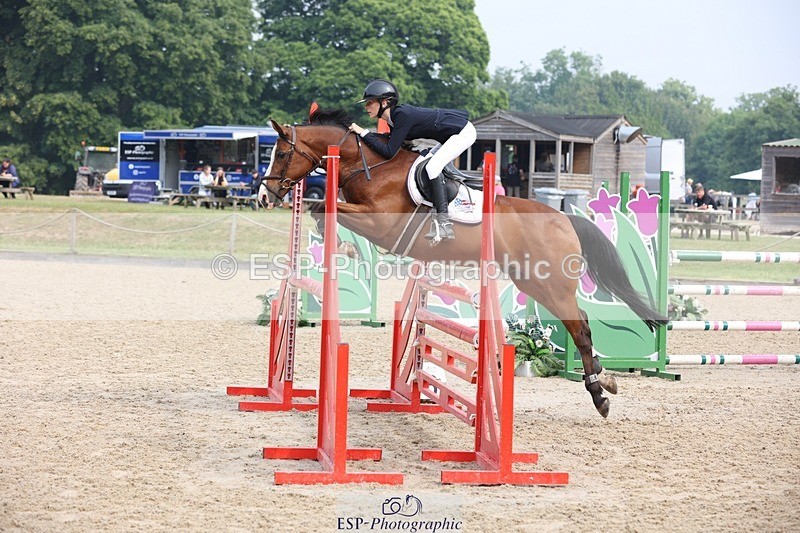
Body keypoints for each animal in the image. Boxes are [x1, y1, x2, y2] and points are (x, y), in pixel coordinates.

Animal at [263, 109, 667, 418]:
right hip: (532, 281)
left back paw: (599, 394)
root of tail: (564, 218)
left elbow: (324, 205)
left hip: (551, 283)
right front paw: (339, 244)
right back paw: (604, 378)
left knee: (580, 327)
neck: (369, 166)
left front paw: (344, 248)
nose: (266, 194)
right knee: (579, 322)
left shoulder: (381, 224)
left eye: (280, 154)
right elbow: (321, 208)